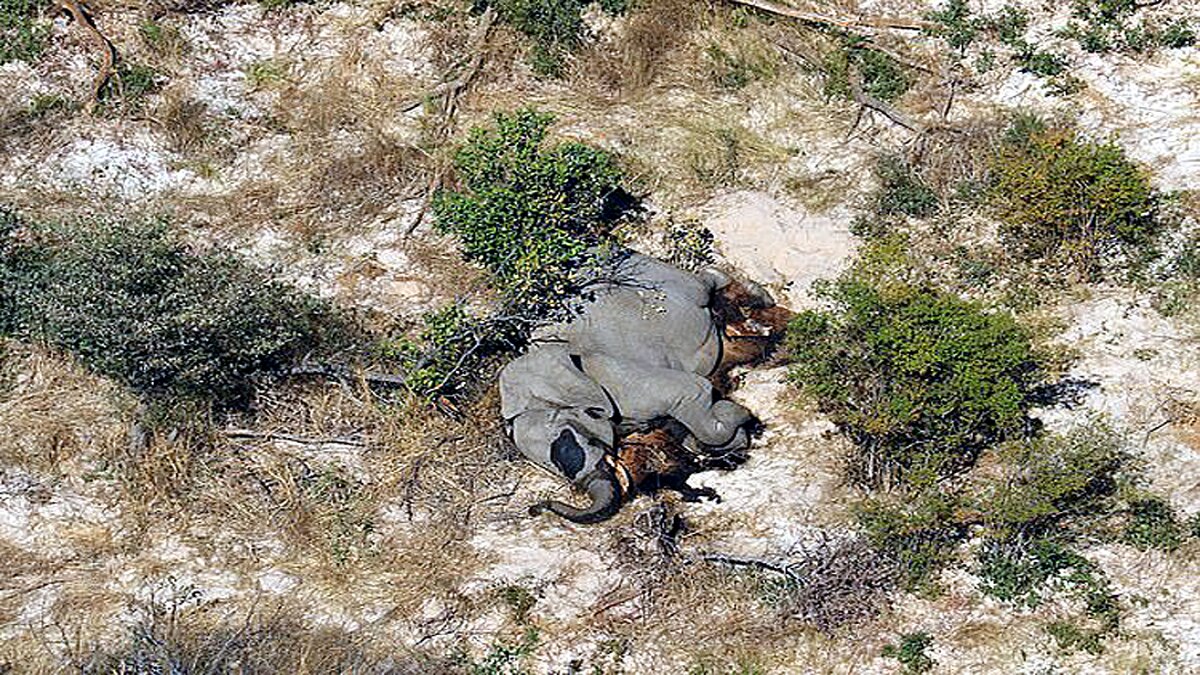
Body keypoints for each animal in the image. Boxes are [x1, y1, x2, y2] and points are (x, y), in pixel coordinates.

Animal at [499, 248, 787, 524]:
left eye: (577, 440)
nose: (534, 510)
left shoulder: (615, 377)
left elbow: (696, 390)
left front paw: (739, 416)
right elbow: (680, 430)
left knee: (703, 284)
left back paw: (758, 297)